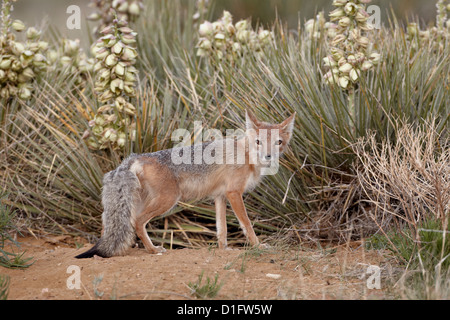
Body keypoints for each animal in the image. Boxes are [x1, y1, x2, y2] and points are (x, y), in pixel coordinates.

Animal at [75, 111, 296, 258]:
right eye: (258, 142)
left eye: (278, 142)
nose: (268, 156)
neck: (247, 155)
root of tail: (136, 156)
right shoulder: (234, 193)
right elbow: (247, 224)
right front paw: (257, 245)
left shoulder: (220, 196)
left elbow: (222, 228)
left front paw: (224, 249)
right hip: (167, 201)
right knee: (137, 222)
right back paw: (153, 249)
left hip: (137, 203)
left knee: (112, 225)